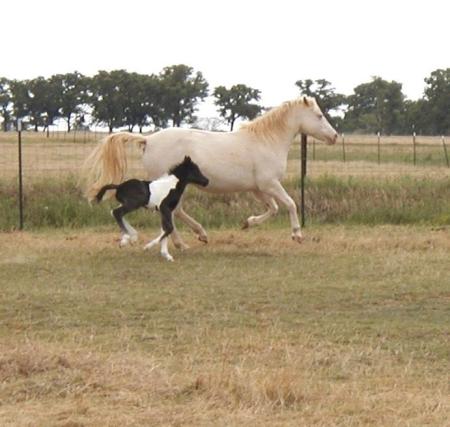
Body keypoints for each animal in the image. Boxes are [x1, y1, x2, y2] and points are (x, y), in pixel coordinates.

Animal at [82, 98, 338, 247]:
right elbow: (291, 204)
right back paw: (188, 240)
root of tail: (148, 139)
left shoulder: (259, 189)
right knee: (173, 211)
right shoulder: (270, 184)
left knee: (174, 212)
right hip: (171, 184)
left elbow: (273, 208)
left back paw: (194, 237)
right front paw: (297, 234)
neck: (267, 141)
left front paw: (247, 223)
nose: (334, 136)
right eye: (318, 116)